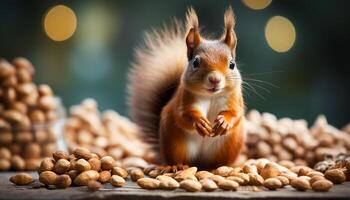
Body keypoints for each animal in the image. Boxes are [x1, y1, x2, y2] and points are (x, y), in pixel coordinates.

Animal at [127, 7, 245, 169]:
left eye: (232, 64)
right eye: (195, 62)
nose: (215, 79)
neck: (211, 96)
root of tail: (200, 163)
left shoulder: (234, 99)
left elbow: (236, 113)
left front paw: (224, 122)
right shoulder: (184, 99)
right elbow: (182, 114)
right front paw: (200, 122)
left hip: (229, 145)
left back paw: (219, 167)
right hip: (175, 143)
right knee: (177, 158)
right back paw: (177, 166)